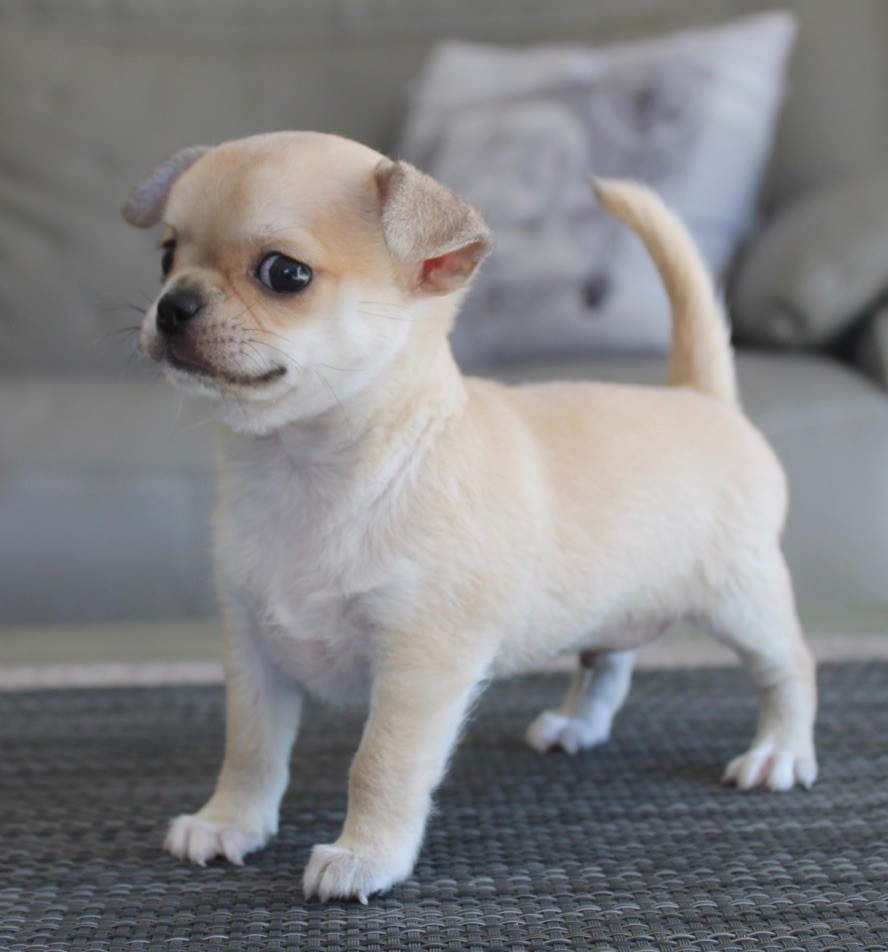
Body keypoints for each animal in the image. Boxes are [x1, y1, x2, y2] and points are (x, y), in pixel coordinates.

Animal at [123, 132, 817, 903]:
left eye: (284, 274)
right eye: (166, 256)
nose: (172, 305)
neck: (301, 471)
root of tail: (699, 395)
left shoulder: (420, 667)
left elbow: (380, 764)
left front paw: (365, 857)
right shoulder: (253, 651)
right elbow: (248, 749)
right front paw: (229, 824)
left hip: (743, 601)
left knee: (790, 667)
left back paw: (779, 753)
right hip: (620, 606)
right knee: (610, 664)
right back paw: (578, 724)